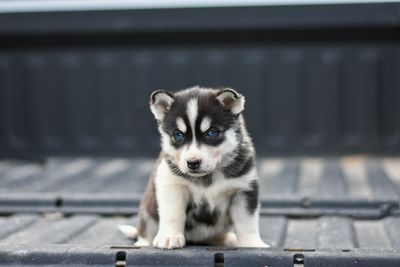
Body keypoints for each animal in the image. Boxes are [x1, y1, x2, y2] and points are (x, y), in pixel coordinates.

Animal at [119, 87, 268, 250]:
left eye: (211, 132)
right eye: (178, 135)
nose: (192, 163)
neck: (208, 177)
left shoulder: (245, 188)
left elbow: (247, 221)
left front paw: (252, 244)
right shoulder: (171, 184)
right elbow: (173, 213)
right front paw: (170, 237)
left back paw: (225, 239)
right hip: (148, 211)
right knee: (145, 231)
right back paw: (144, 242)